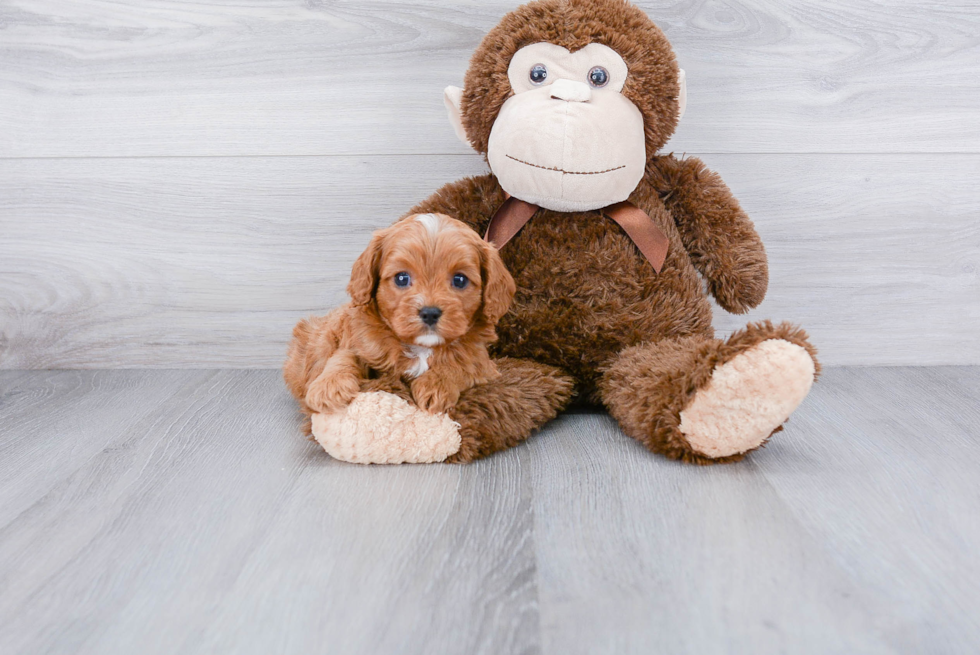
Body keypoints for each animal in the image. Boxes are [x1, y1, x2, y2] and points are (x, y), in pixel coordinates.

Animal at [284, 215, 516, 420]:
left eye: (460, 280)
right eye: (402, 278)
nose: (430, 312)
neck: (422, 347)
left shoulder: (483, 364)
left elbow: (463, 364)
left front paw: (436, 385)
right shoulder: (360, 342)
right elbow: (344, 356)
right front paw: (328, 386)